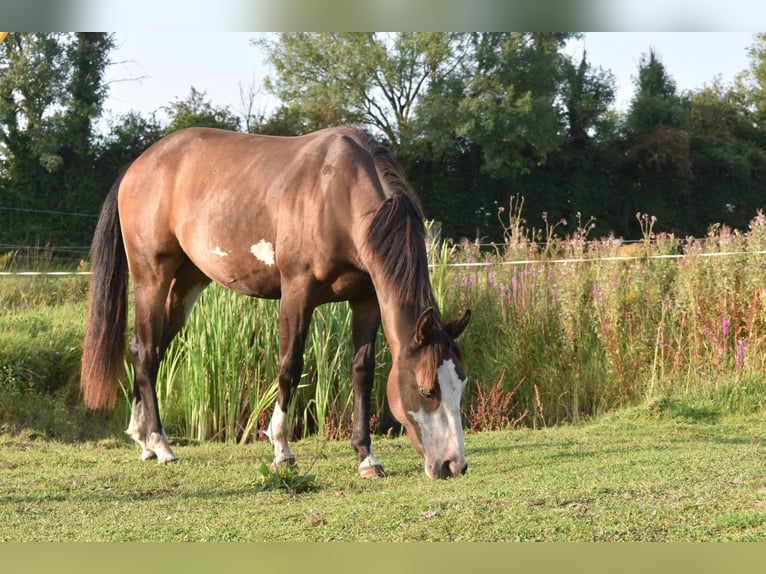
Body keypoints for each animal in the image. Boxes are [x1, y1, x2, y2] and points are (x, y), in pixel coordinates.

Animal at [80, 126, 471, 479]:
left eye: (461, 385)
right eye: (426, 389)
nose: (453, 465)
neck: (339, 193)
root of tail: (138, 166)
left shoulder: (366, 300)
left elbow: (362, 372)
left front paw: (366, 457)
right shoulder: (297, 293)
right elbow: (289, 366)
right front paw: (282, 451)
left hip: (187, 283)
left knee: (146, 350)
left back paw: (142, 438)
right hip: (152, 280)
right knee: (146, 352)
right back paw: (161, 445)